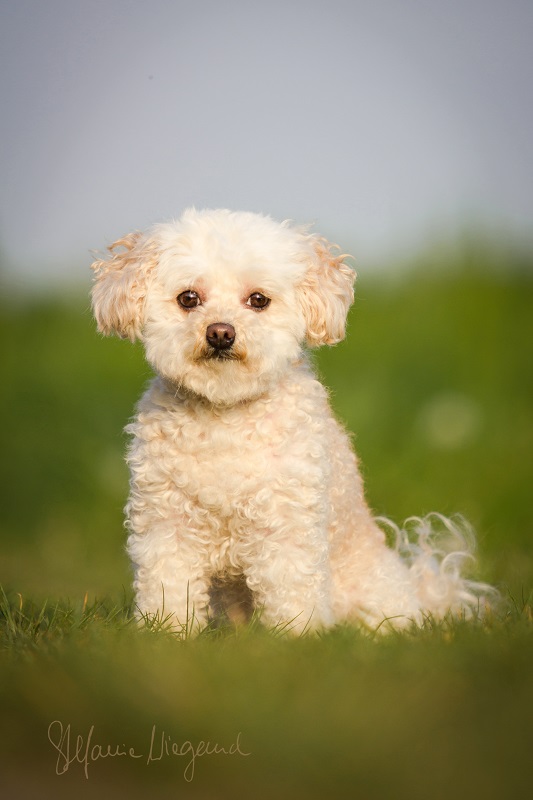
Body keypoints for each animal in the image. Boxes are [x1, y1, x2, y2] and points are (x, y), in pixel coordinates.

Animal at [91, 209, 490, 636]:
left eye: (258, 300)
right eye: (188, 298)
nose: (220, 332)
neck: (225, 413)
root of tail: (424, 594)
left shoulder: (287, 521)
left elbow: (290, 584)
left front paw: (297, 635)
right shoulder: (167, 521)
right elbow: (168, 582)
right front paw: (167, 631)